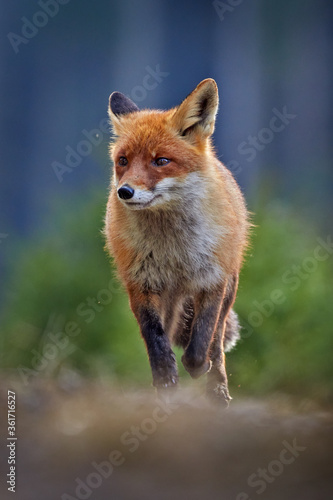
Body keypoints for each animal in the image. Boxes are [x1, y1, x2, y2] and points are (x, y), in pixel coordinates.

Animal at [104, 79, 249, 406]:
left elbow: (203, 339)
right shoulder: (141, 284)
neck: (174, 249)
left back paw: (218, 389)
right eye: (123, 161)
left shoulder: (213, 280)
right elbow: (156, 341)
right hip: (168, 302)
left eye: (161, 161)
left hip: (229, 289)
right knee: (168, 334)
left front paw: (196, 367)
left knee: (217, 341)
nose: (125, 192)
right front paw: (165, 380)